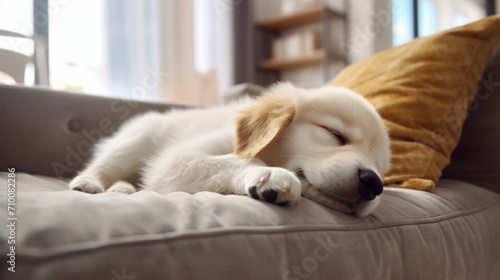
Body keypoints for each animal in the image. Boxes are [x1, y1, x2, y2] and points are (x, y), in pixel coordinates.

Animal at [70, 82, 390, 217]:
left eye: (380, 168)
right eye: (335, 135)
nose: (373, 183)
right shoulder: (174, 161)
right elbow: (232, 161)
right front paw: (269, 175)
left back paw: (122, 189)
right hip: (137, 138)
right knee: (104, 165)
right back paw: (89, 183)